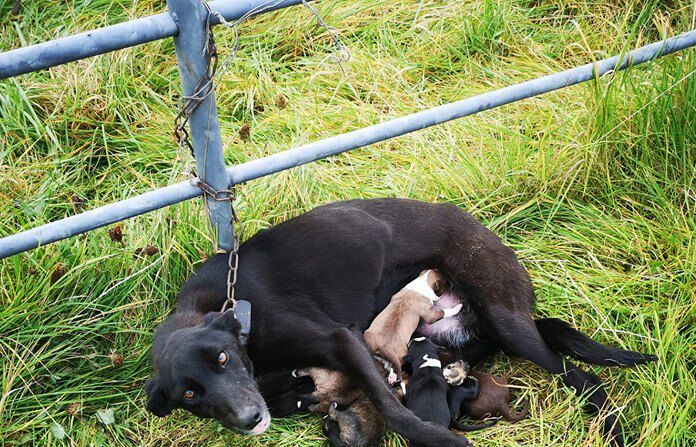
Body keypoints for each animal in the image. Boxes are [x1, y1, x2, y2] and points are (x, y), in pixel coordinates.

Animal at [144, 200, 656, 447]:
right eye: (189, 394)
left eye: (223, 358)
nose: (251, 420)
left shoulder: (341, 340)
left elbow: (391, 408)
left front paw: (438, 439)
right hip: (450, 338)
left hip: (507, 319)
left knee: (582, 376)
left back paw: (612, 429)